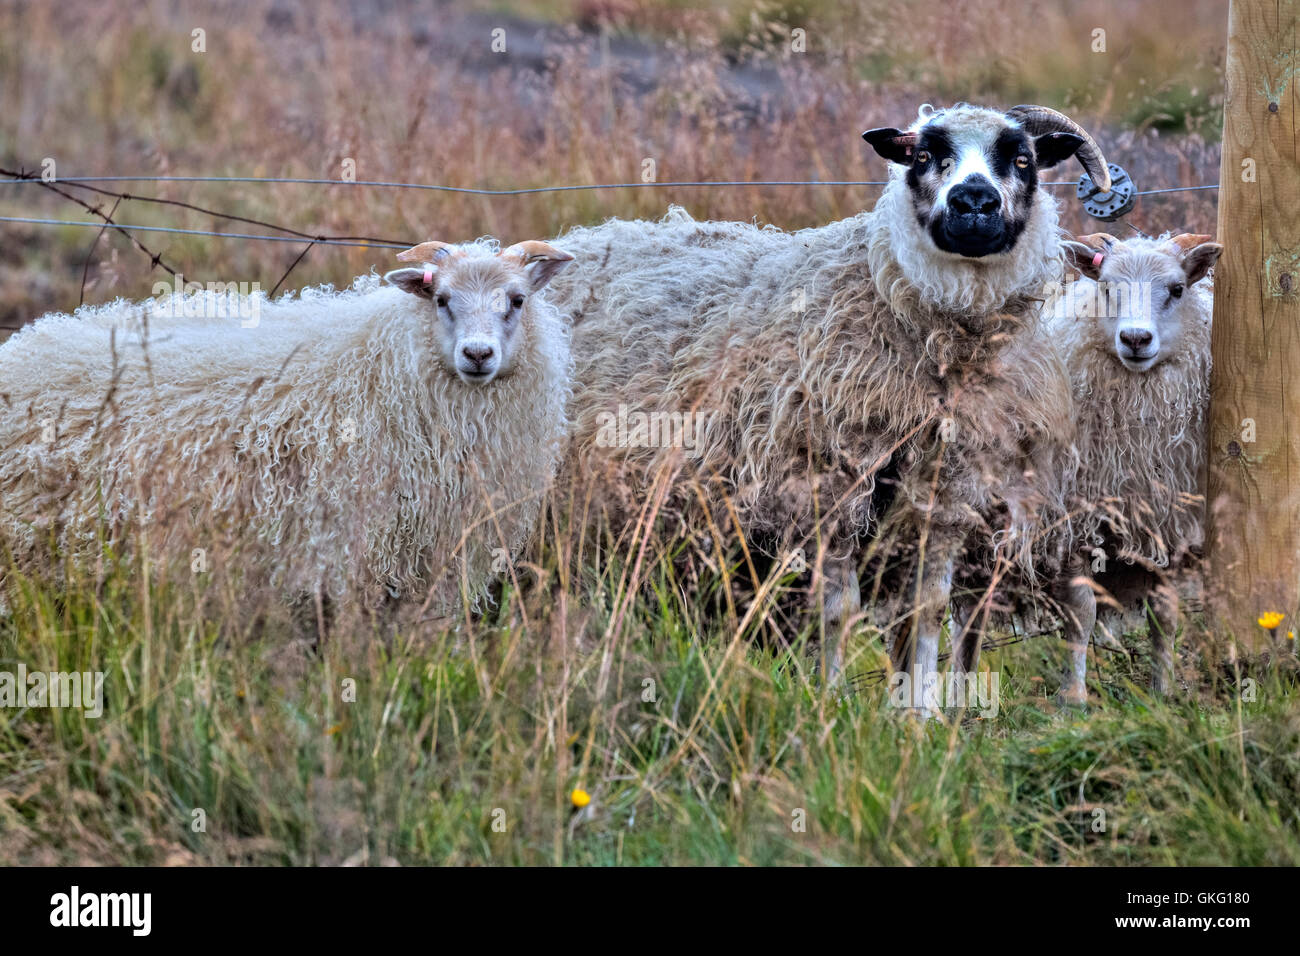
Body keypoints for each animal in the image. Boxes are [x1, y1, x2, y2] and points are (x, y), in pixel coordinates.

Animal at [533, 103, 1112, 704]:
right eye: (924, 155)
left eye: (1022, 159)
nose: (973, 200)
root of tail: (586, 238)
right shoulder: (825, 487)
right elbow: (839, 612)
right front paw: (834, 702)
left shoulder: (945, 498)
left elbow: (925, 613)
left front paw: (921, 713)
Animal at [1046, 231, 1223, 700]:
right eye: (1107, 288)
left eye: (1177, 289)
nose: (1136, 339)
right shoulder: (1076, 523)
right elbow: (1081, 614)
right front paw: (1074, 699)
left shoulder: (1170, 526)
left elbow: (1166, 614)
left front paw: (1163, 690)